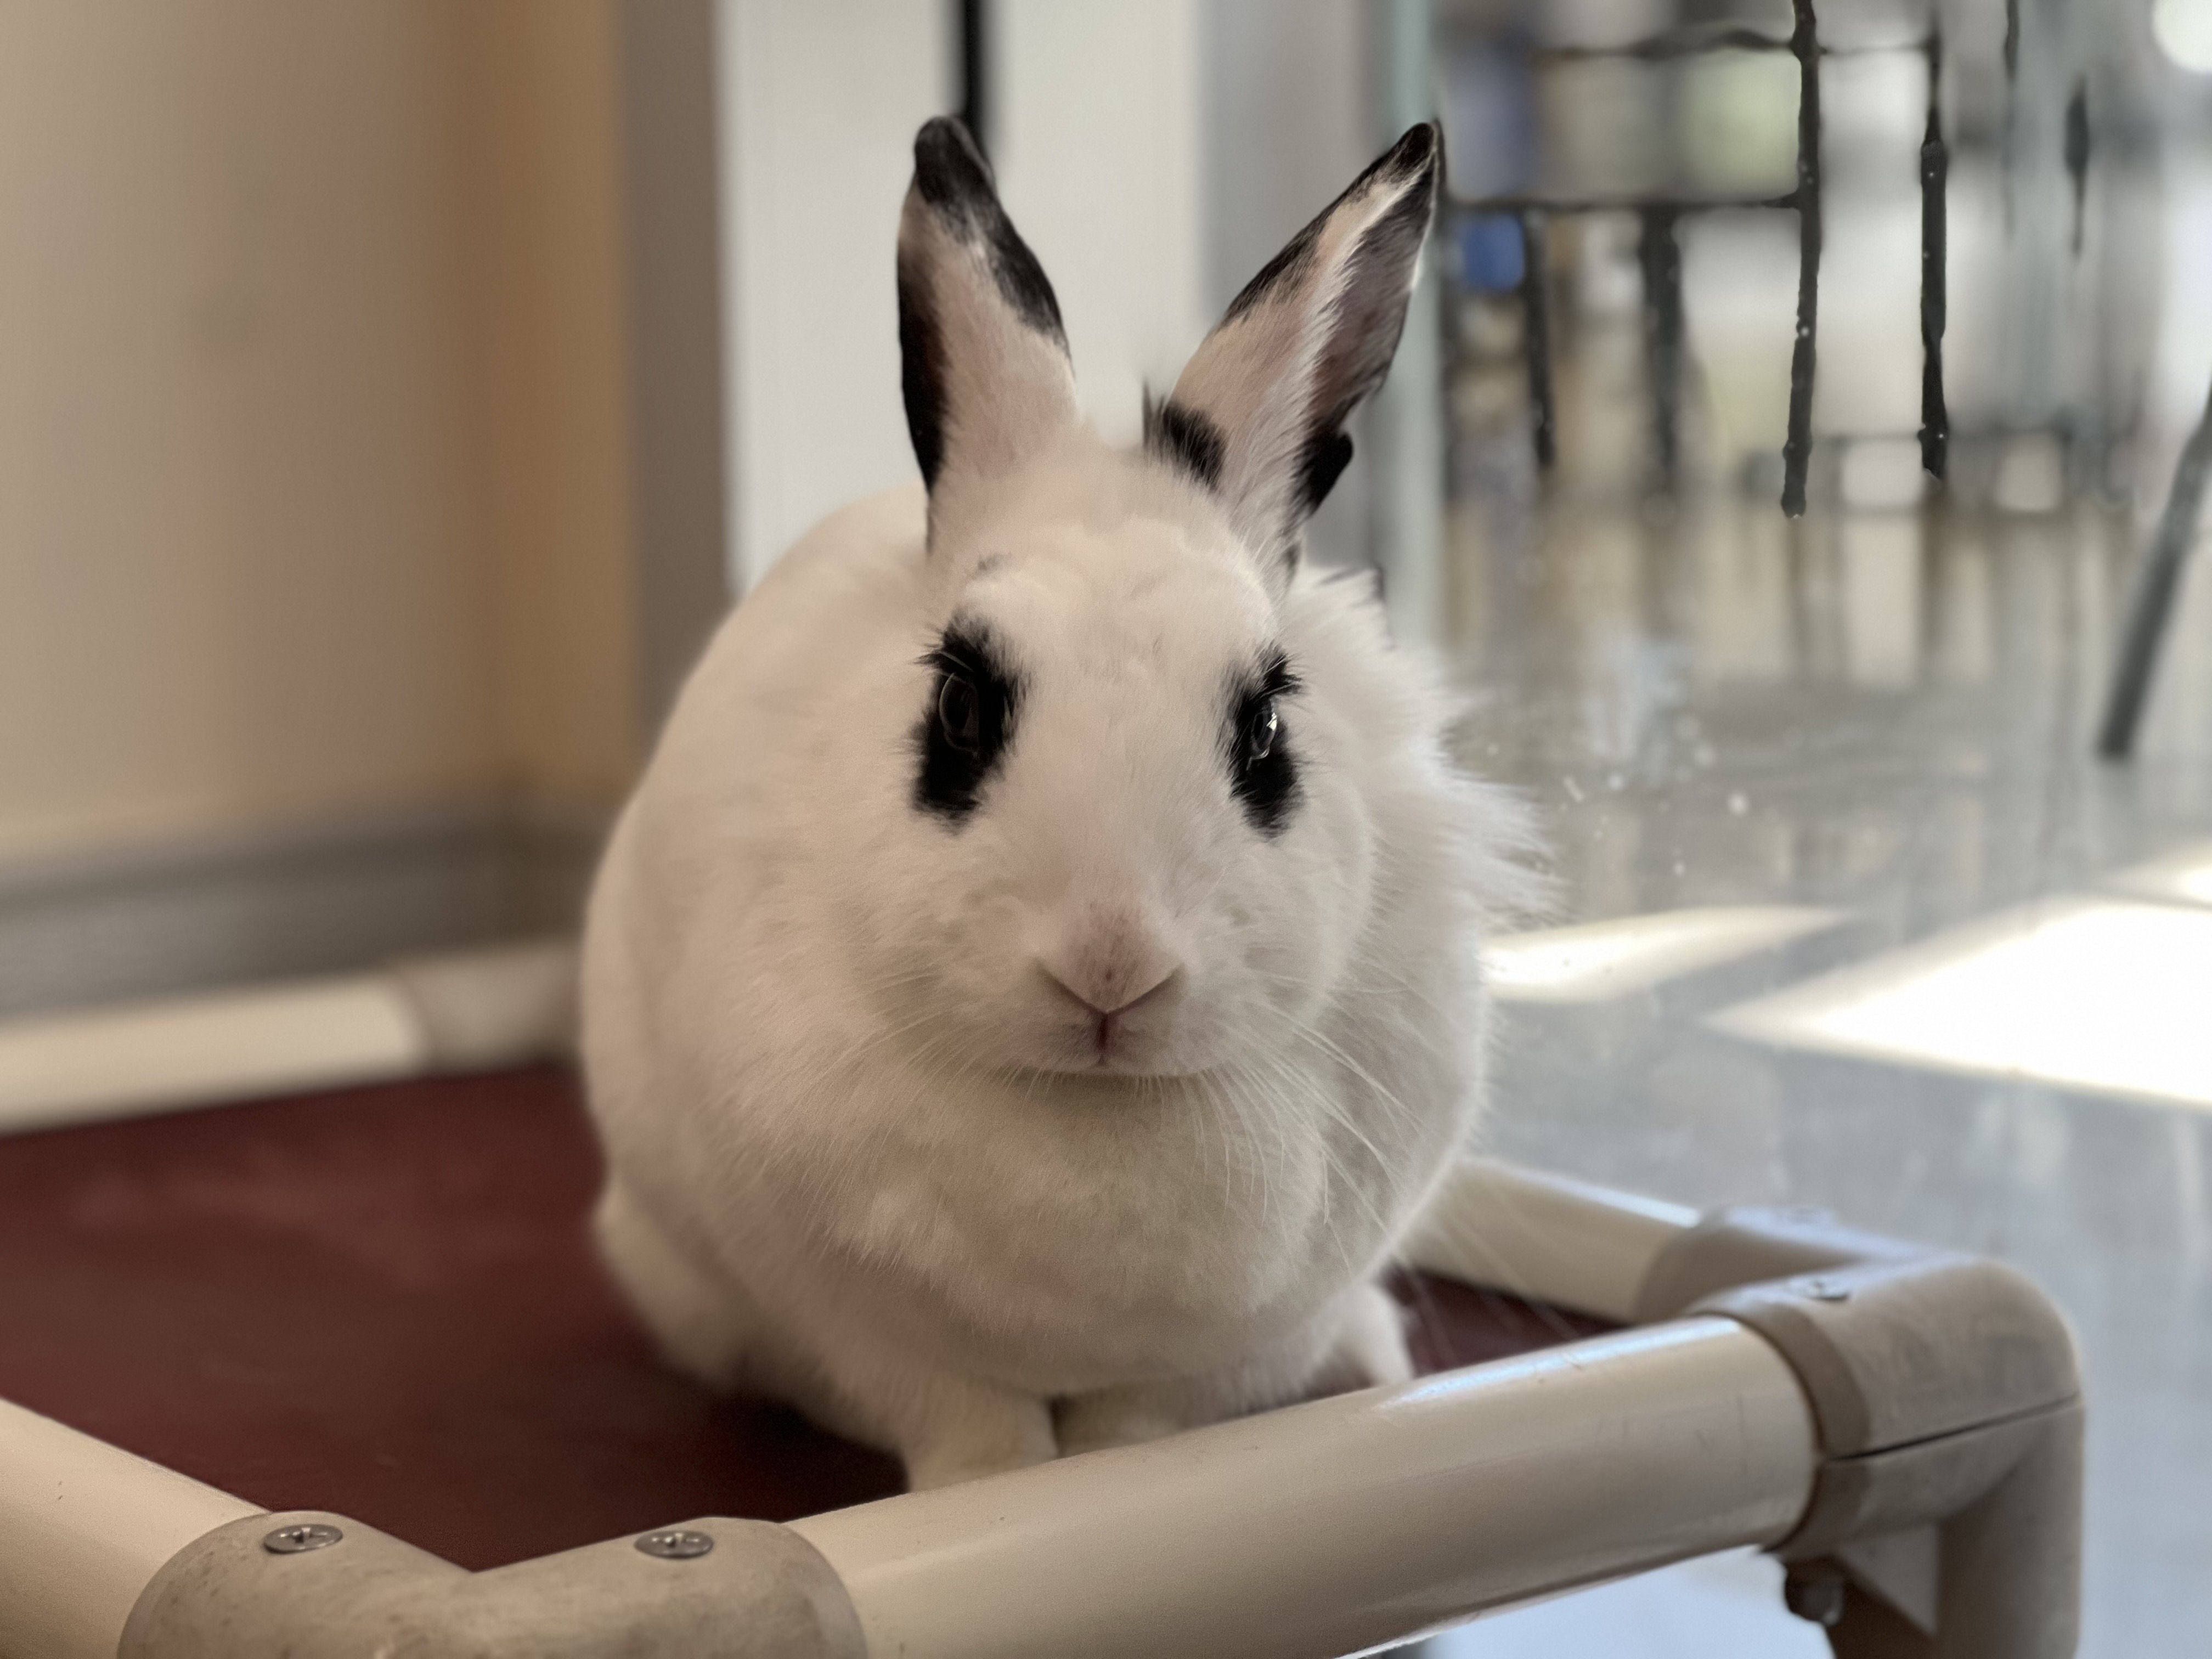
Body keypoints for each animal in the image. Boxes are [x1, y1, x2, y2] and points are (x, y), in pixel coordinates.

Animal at [580, 116, 1536, 1492]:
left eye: (1265, 730)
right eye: (960, 708)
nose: (1111, 966)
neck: (1094, 1111)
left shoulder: (1227, 1346)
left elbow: (1141, 1427)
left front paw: (1101, 1479)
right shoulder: (860, 1324)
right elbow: (968, 1428)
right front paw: (991, 1494)